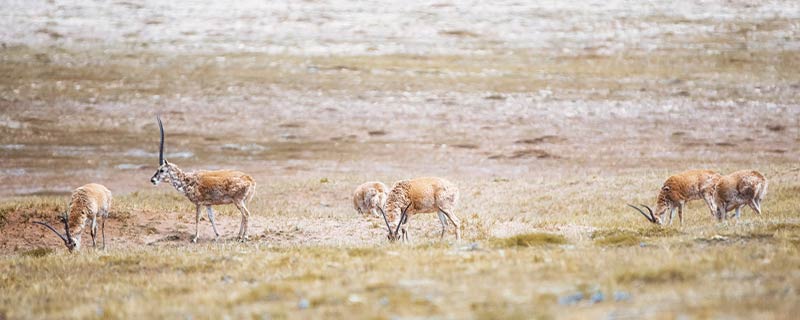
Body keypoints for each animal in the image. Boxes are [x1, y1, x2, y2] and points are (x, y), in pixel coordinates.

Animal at [150, 116, 256, 244]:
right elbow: (211, 218)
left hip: (238, 200)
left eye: (161, 170)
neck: (188, 180)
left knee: (246, 214)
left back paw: (244, 237)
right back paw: (238, 236)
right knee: (243, 216)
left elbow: (197, 218)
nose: (152, 180)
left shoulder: (199, 203)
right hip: (242, 201)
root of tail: (250, 179)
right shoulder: (208, 204)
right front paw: (217, 235)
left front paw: (195, 238)